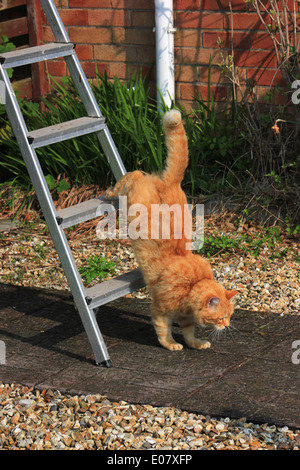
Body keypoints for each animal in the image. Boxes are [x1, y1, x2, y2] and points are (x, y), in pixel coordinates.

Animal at [105, 109, 237, 348]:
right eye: (221, 318)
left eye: (230, 316)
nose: (227, 326)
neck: (191, 285)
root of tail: (171, 182)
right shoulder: (160, 309)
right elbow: (163, 330)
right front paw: (171, 345)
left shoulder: (186, 316)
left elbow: (189, 332)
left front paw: (196, 344)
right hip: (132, 193)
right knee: (133, 174)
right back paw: (110, 191)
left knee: (136, 173)